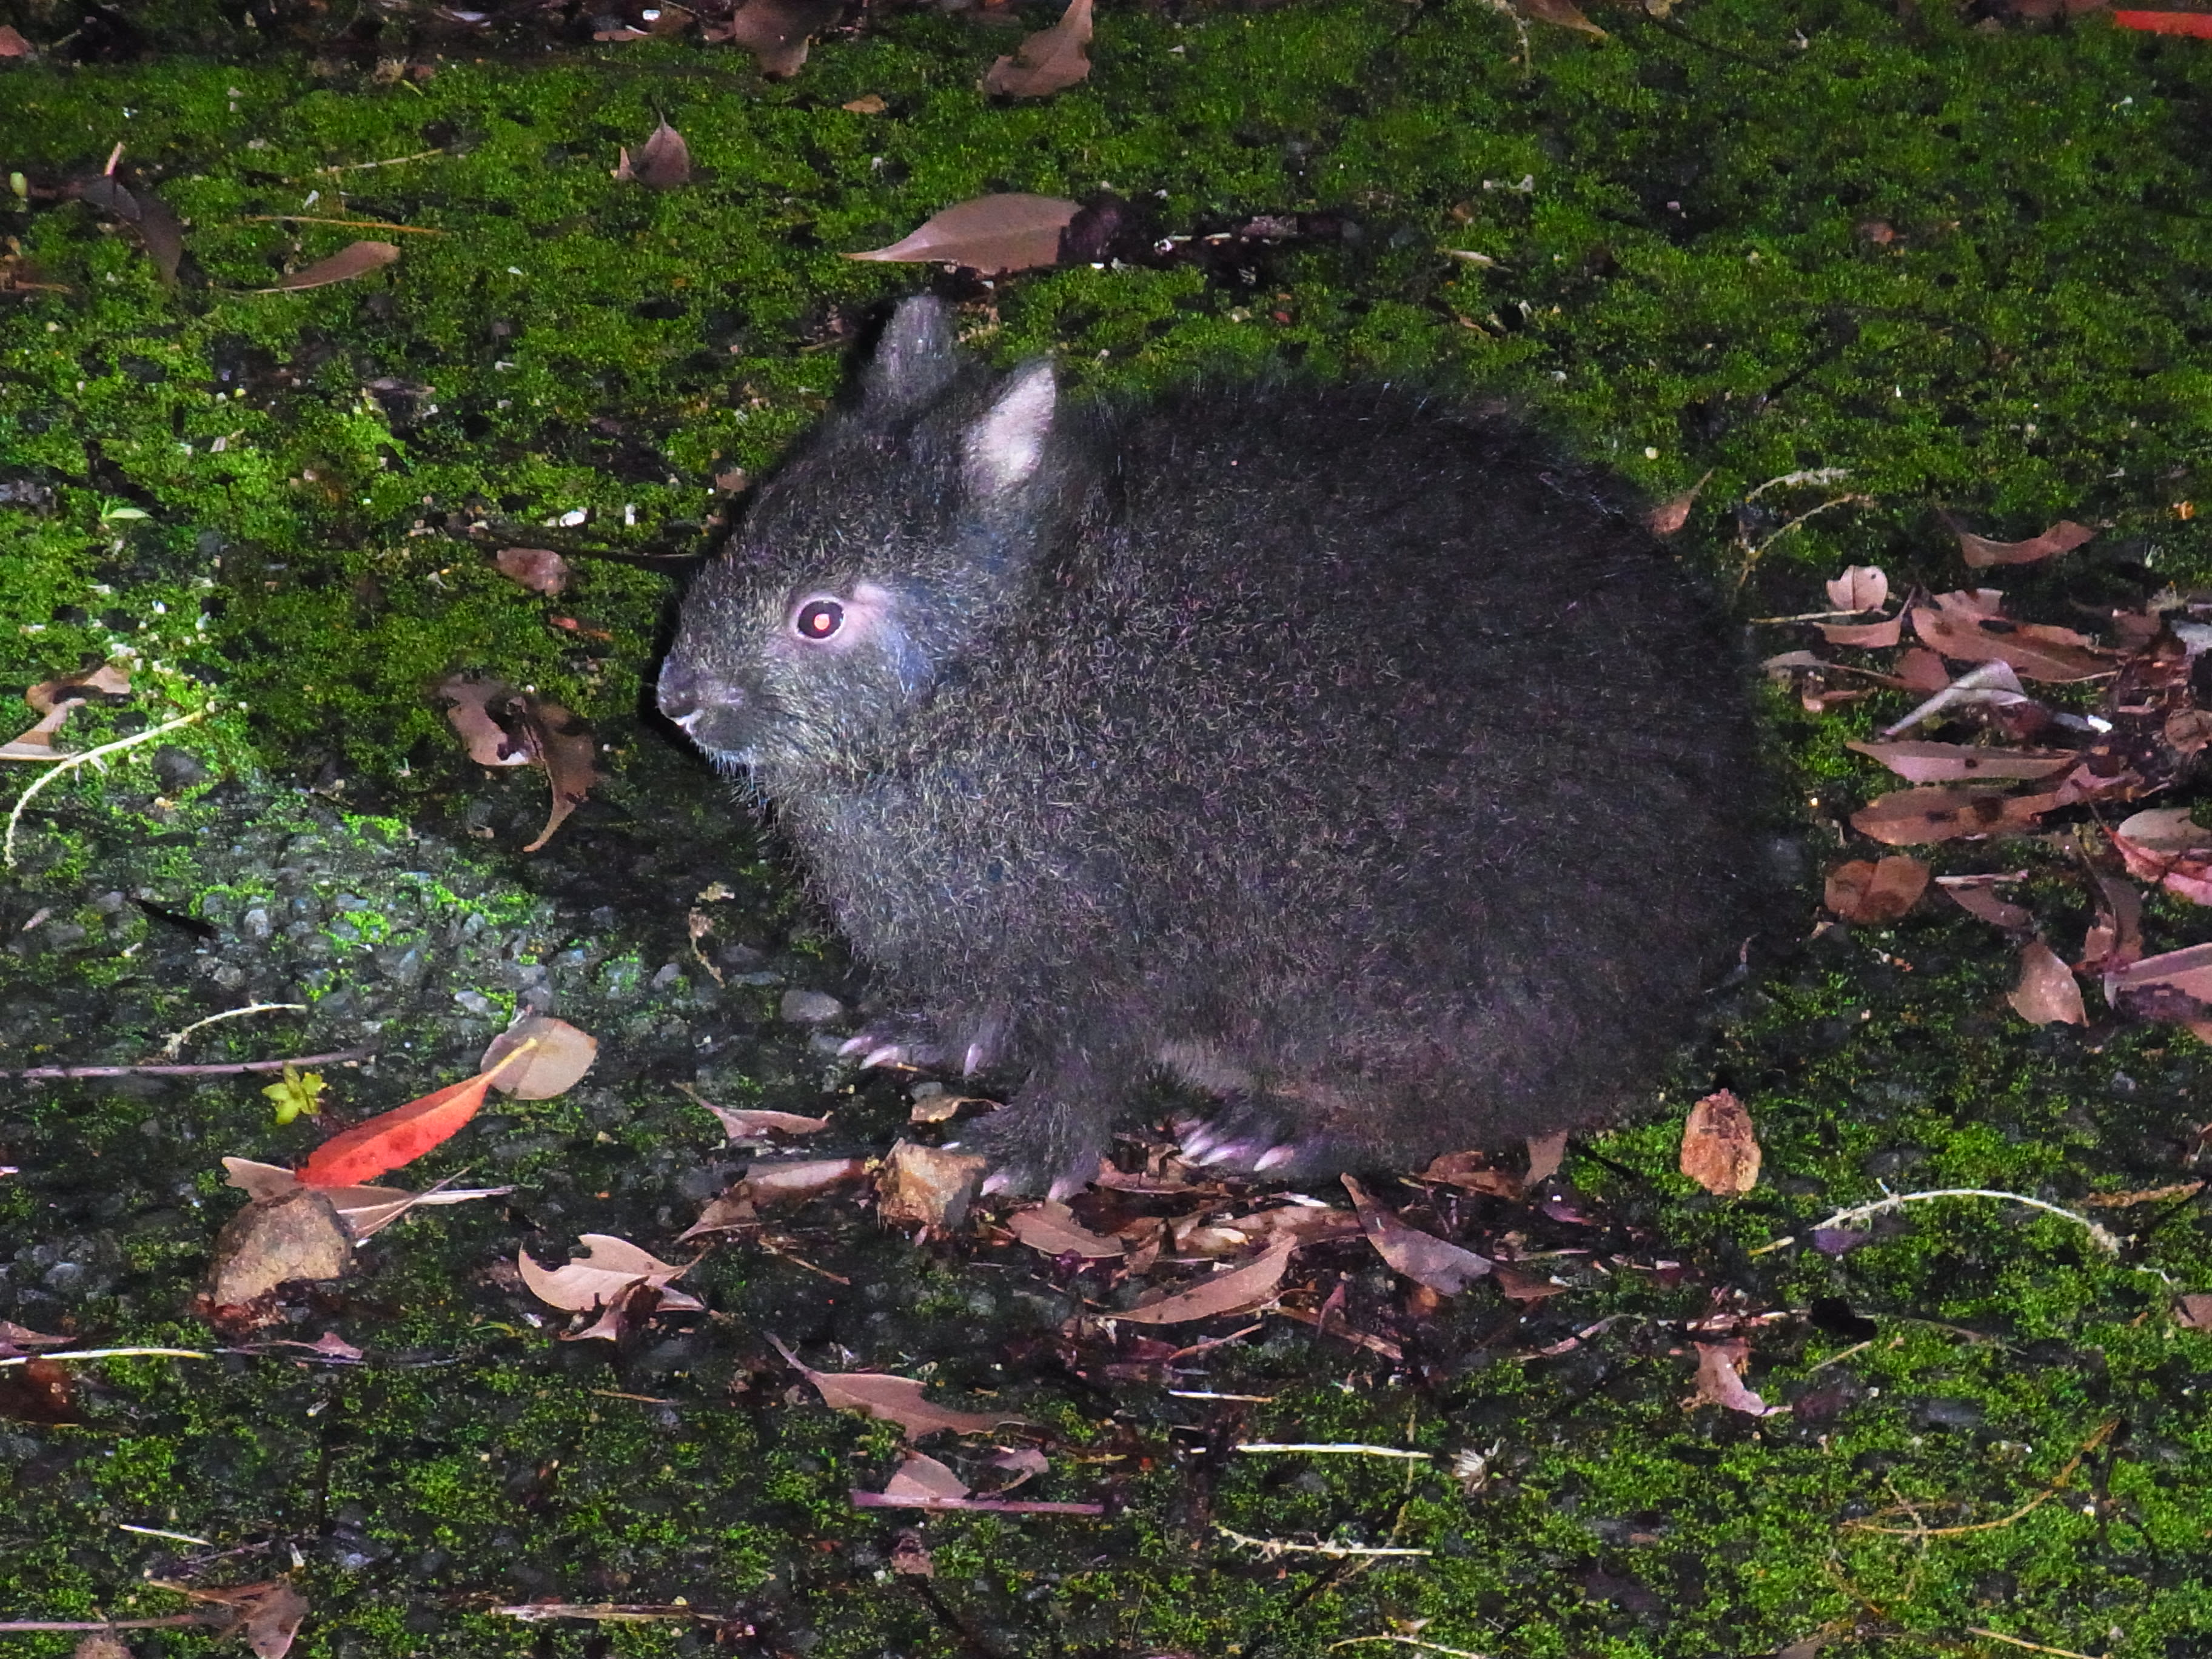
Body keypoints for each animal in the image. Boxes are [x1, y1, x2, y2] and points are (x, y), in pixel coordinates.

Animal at [650, 298, 1760, 1203]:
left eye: (820, 618)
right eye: (745, 524)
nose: (674, 700)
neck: (997, 667)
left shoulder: (1121, 948)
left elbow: (1085, 1064)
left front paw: (1027, 1154)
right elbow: (982, 1005)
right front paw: (913, 1032)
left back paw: (1278, 1130)